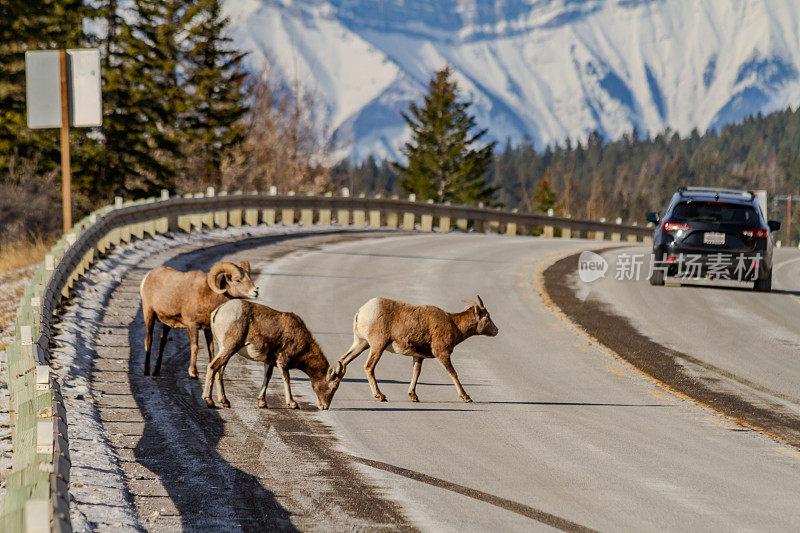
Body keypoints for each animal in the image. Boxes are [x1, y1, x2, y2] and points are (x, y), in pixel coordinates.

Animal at [203, 302, 344, 410]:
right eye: (334, 387)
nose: (324, 406)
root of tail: (217, 312)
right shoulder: (283, 360)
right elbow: (286, 378)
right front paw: (292, 403)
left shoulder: (269, 361)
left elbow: (268, 377)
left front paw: (262, 402)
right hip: (230, 347)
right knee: (213, 366)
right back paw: (209, 401)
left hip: (225, 349)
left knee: (220, 370)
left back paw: (225, 401)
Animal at [340, 294, 500, 402]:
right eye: (487, 317)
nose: (496, 330)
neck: (454, 324)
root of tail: (361, 312)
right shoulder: (442, 353)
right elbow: (453, 373)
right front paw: (466, 397)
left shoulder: (418, 356)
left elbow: (416, 373)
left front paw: (414, 396)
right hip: (377, 346)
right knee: (369, 367)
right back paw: (380, 396)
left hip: (361, 343)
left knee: (343, 360)